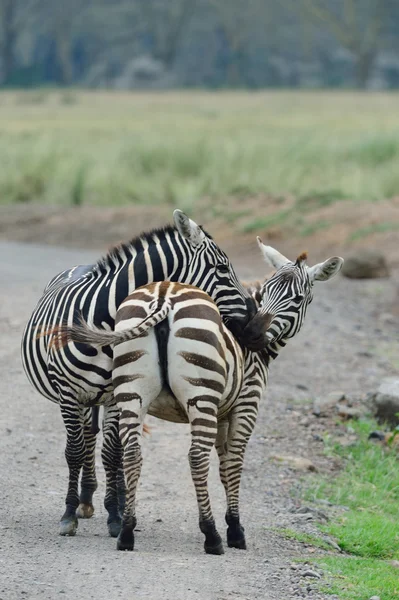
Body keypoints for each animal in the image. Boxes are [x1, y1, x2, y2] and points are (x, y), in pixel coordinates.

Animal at [21, 211, 256, 540]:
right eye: (222, 268)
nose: (256, 318)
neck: (102, 325)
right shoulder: (68, 394)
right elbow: (74, 451)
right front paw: (68, 515)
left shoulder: (115, 395)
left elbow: (112, 453)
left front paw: (115, 516)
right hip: (83, 397)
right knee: (86, 438)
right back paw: (84, 501)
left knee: (110, 445)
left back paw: (113, 502)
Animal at [50, 238, 344, 552]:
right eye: (267, 292)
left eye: (298, 299)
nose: (251, 334)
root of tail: (164, 296)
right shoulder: (246, 403)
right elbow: (233, 464)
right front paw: (235, 530)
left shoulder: (223, 411)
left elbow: (225, 469)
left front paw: (232, 524)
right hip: (199, 396)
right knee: (197, 458)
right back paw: (211, 536)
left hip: (131, 392)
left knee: (130, 453)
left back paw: (126, 531)